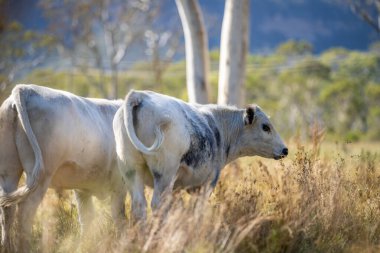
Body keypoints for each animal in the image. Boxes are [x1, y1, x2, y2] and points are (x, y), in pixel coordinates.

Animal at [0, 84, 127, 251]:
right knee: (25, 211)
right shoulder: (119, 186)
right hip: (41, 175)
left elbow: (87, 220)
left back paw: (6, 247)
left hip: (8, 171)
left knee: (7, 210)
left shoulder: (82, 190)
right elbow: (121, 218)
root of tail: (26, 89)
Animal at [113, 90, 288, 219]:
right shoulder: (208, 182)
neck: (219, 126)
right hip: (164, 174)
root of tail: (140, 95)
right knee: (157, 204)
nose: (285, 150)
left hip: (132, 171)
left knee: (139, 206)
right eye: (265, 127)